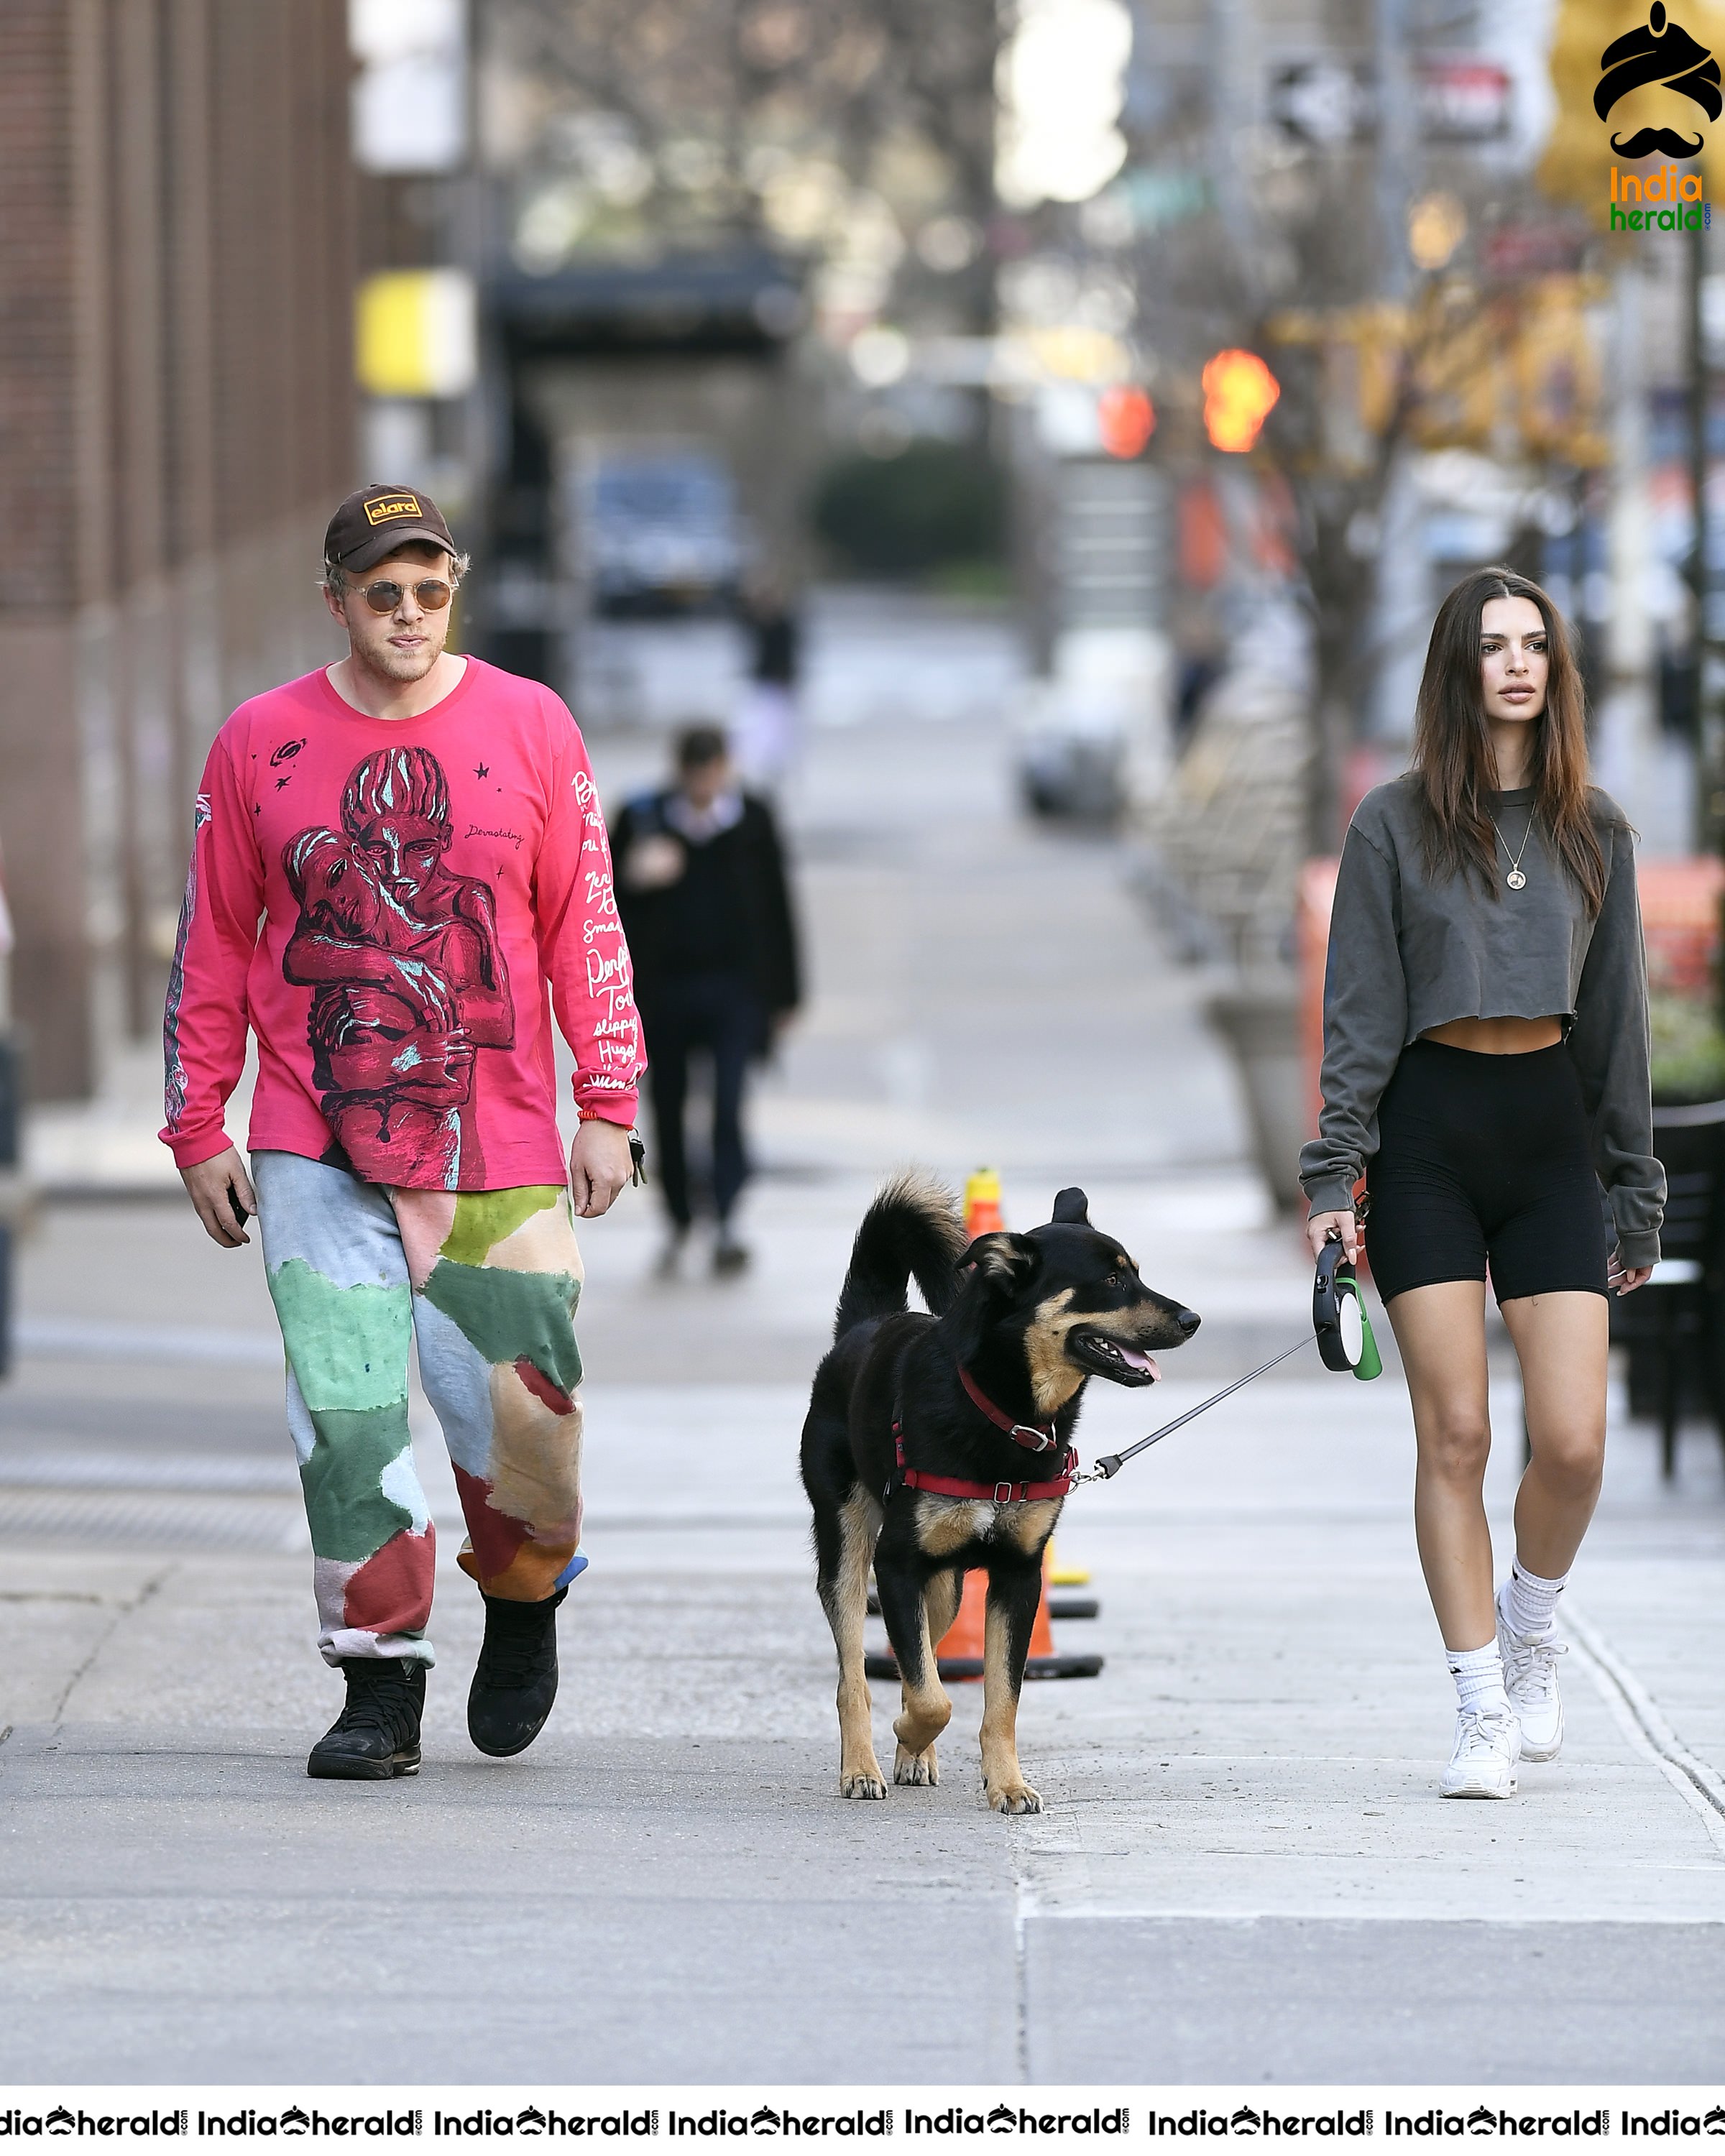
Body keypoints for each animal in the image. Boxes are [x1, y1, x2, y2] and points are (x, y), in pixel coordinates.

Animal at [798, 1173, 1190, 1811]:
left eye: (1136, 1272)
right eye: (1112, 1281)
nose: (1192, 1319)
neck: (1007, 1414)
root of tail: (865, 1325)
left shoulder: (1018, 1575)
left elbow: (996, 1698)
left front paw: (1006, 1783)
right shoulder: (897, 1564)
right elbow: (931, 1697)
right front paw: (907, 1732)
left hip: (945, 1587)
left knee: (920, 1656)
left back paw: (914, 1759)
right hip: (849, 1550)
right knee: (854, 1675)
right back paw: (861, 1767)